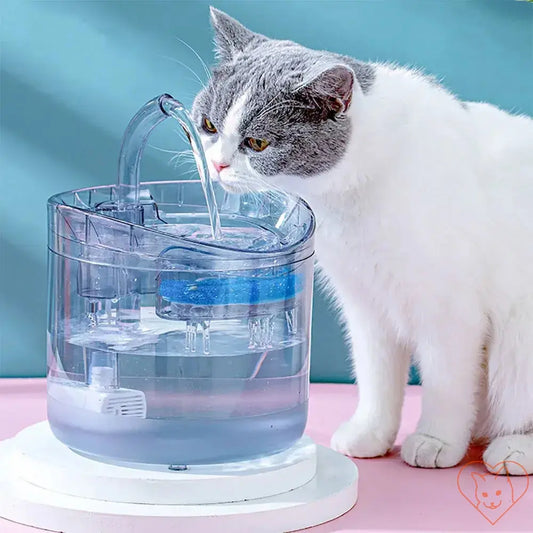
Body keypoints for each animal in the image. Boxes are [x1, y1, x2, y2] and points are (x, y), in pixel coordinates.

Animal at [191, 7, 532, 474]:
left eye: (257, 143)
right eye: (208, 125)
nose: (217, 164)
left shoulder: (450, 311)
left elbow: (446, 382)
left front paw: (436, 440)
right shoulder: (367, 305)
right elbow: (376, 376)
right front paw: (370, 432)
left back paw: (513, 449)